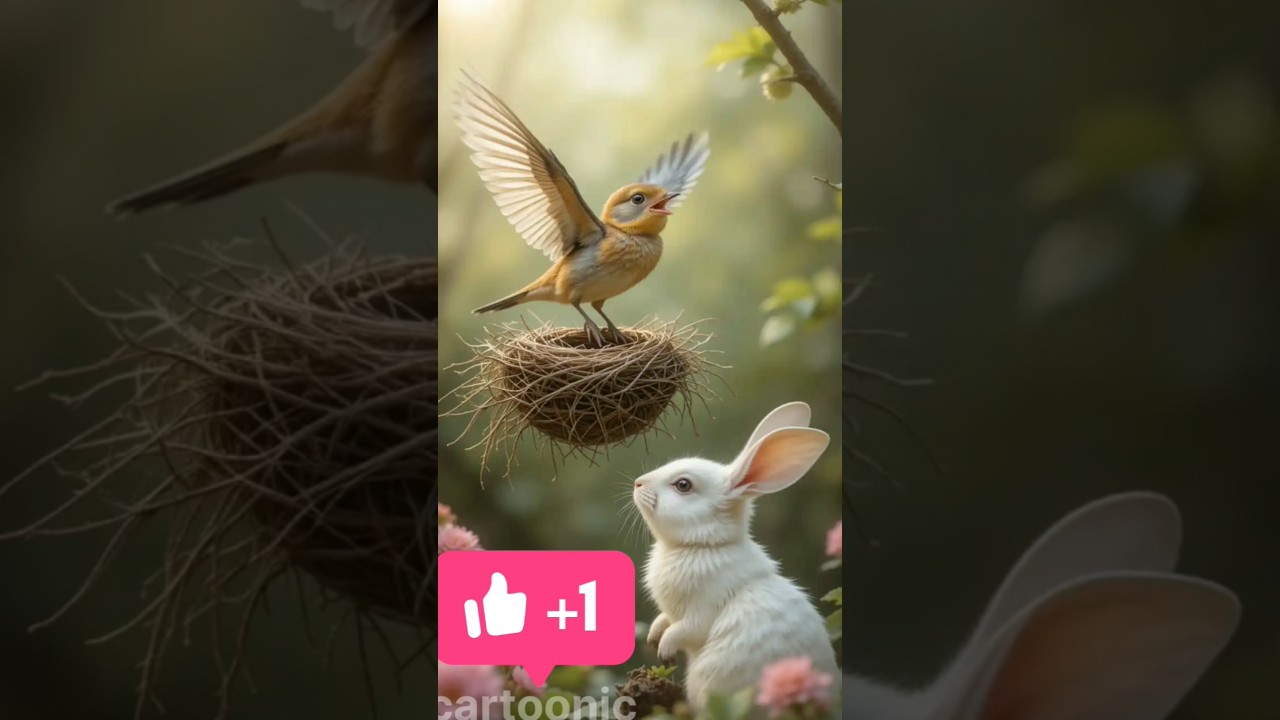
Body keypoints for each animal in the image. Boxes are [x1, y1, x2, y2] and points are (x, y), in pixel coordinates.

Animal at [631, 401, 840, 710]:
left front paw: (664, 650)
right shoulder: (672, 611)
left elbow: (684, 630)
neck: (702, 547)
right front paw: (653, 637)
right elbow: (664, 619)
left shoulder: (703, 610)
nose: (638, 483)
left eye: (683, 485)